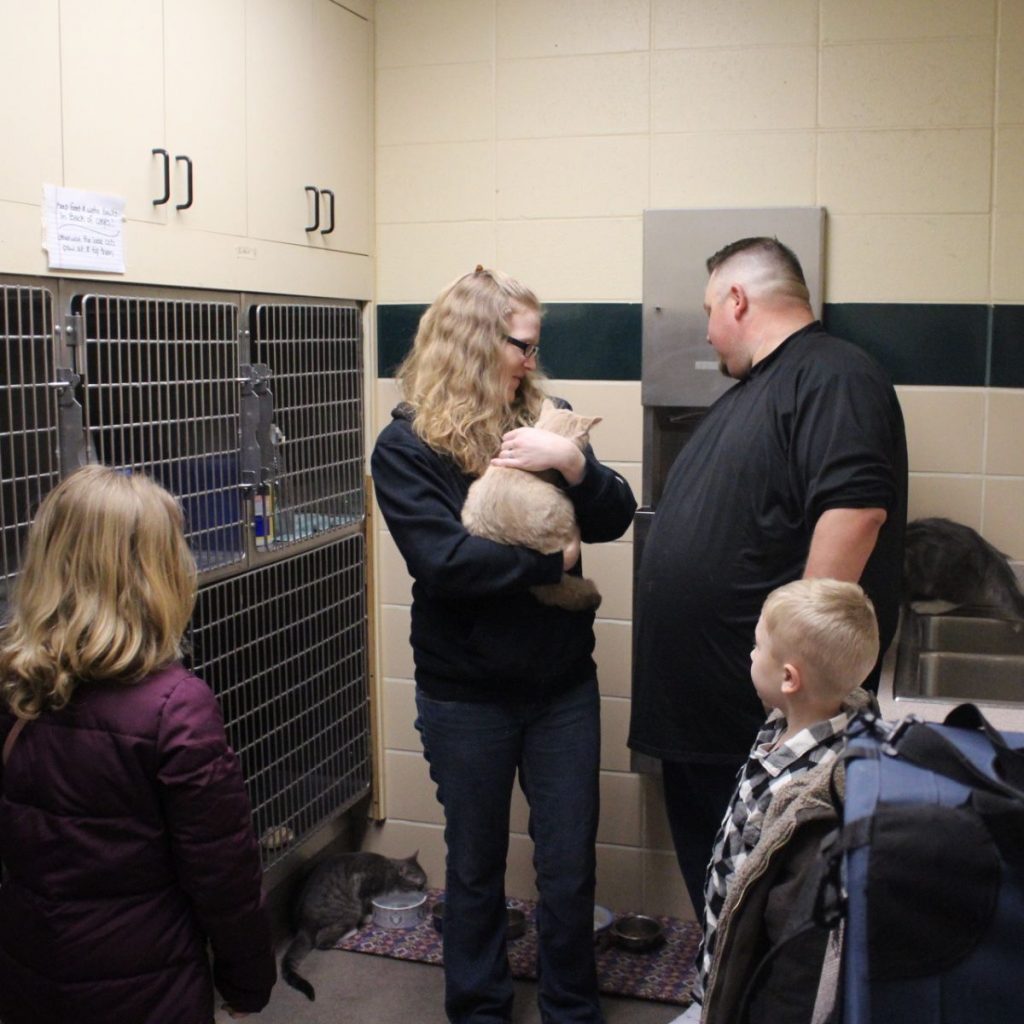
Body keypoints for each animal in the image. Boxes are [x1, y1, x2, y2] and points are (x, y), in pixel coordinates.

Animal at [278, 851, 425, 1003]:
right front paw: (368, 916)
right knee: (323, 942)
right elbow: (367, 905)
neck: (391, 873)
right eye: (419, 886)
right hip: (351, 910)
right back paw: (353, 930)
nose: (424, 891)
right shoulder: (365, 887)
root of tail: (304, 925)